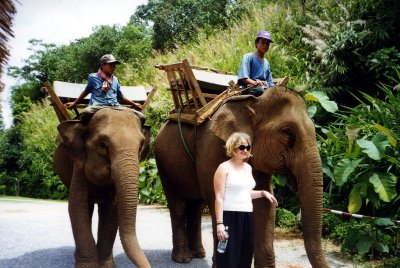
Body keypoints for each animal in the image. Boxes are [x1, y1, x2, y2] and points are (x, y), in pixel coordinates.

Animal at [53, 107, 152, 268]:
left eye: (140, 146)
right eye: (103, 145)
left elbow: (112, 210)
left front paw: (106, 266)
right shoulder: (78, 165)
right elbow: (77, 207)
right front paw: (87, 266)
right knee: (86, 208)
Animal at [155, 86, 330, 268]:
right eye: (287, 132)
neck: (253, 102)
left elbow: (264, 203)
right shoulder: (212, 147)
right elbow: (217, 198)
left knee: (196, 206)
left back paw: (198, 254)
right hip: (163, 164)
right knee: (178, 204)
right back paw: (183, 258)